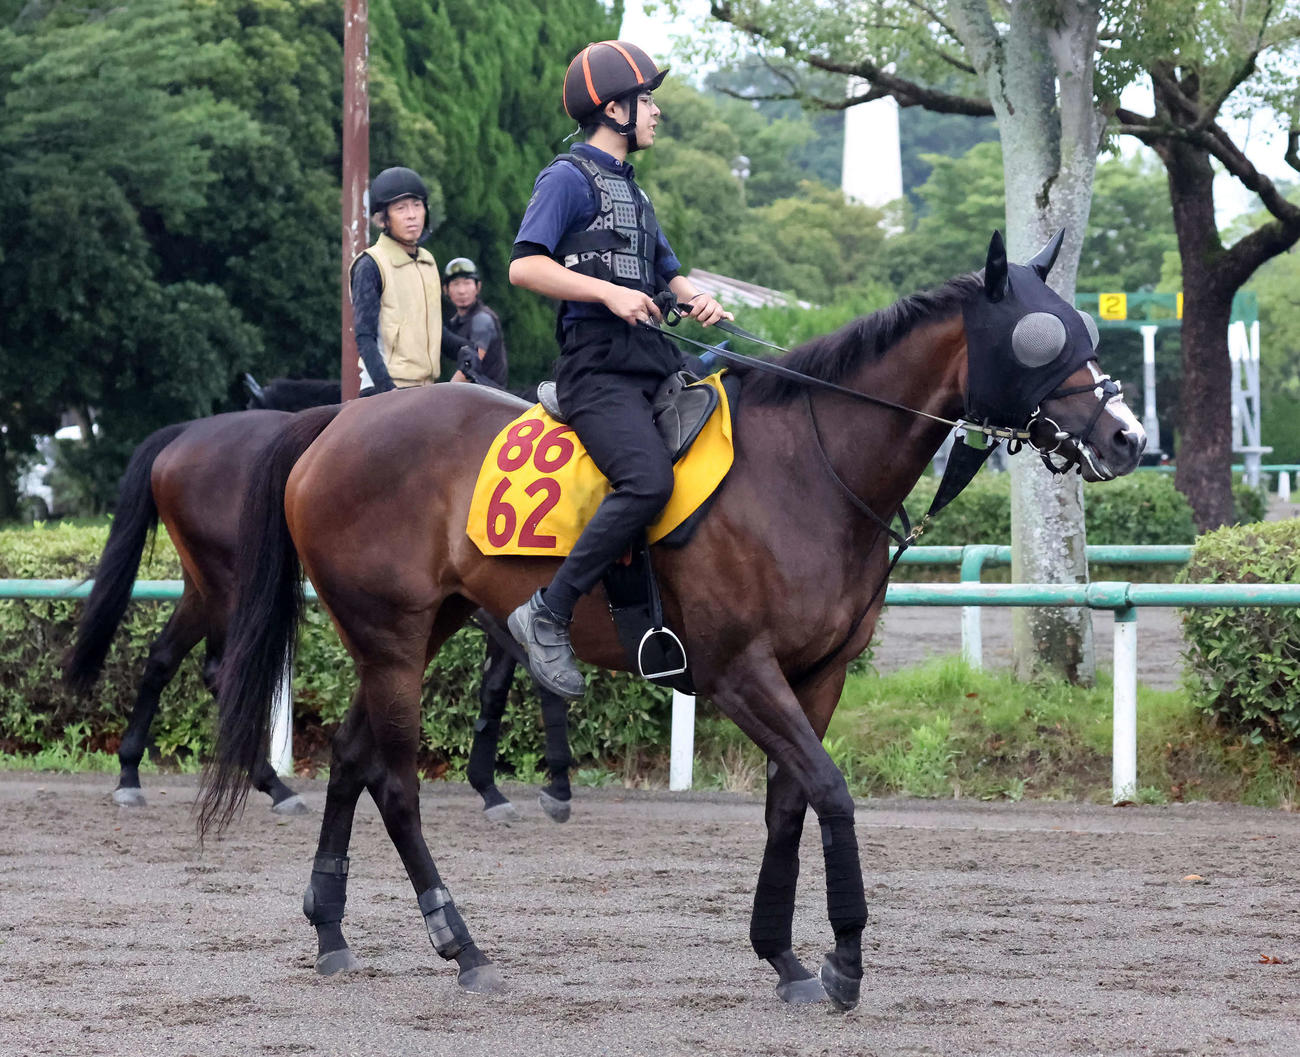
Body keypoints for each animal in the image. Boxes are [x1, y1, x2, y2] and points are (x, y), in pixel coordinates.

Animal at [198, 233, 1146, 1006]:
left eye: (1085, 332)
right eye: (1043, 339)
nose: (1130, 436)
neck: (809, 465)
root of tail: (336, 423)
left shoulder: (819, 673)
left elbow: (789, 801)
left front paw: (783, 955)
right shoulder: (739, 672)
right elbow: (829, 790)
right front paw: (843, 958)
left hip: (416, 631)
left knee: (351, 756)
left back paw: (330, 925)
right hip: (392, 638)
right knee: (394, 784)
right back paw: (460, 943)